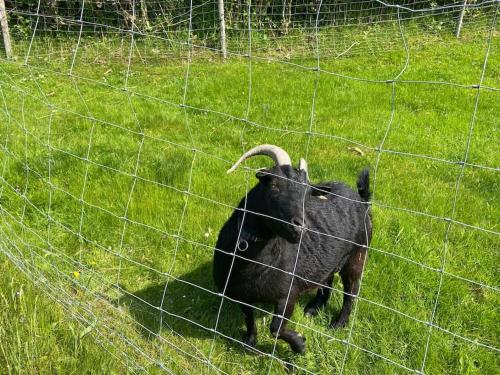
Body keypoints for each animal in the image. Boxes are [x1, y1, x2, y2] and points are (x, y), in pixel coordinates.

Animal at [212, 145, 372, 356]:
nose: (300, 228)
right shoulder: (240, 294)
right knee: (327, 279)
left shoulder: (287, 295)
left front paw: (300, 344)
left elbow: (276, 328)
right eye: (274, 184)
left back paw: (338, 324)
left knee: (351, 292)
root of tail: (362, 200)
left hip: (357, 256)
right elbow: (248, 316)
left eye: (308, 194)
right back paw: (314, 308)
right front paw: (250, 341)